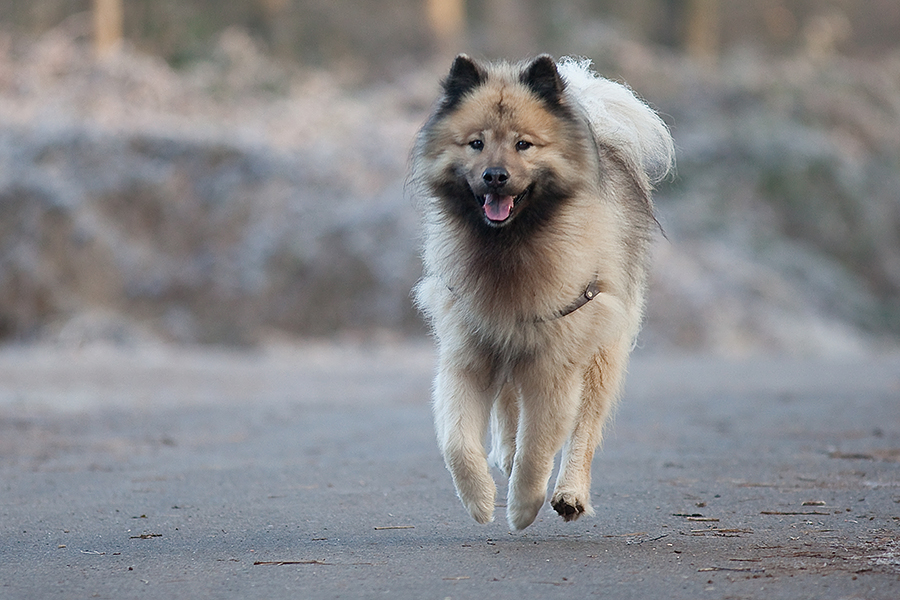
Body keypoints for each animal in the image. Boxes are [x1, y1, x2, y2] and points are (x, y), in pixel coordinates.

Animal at [412, 54, 672, 528]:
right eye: (476, 143)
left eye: (524, 145)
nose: (495, 177)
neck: (509, 247)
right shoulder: (469, 352)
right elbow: (458, 442)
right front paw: (480, 500)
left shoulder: (554, 361)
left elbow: (540, 445)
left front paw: (523, 506)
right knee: (508, 407)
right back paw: (506, 455)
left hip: (601, 350)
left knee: (584, 428)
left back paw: (570, 492)